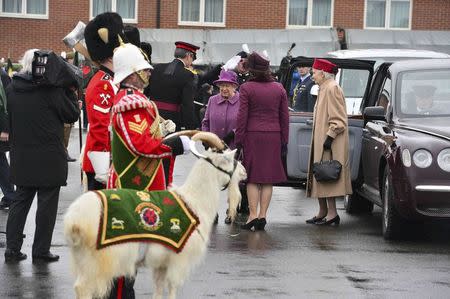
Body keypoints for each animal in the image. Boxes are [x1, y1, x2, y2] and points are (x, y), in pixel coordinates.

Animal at [63, 134, 246, 299]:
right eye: (231, 160)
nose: (244, 172)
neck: (193, 201)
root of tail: (74, 220)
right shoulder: (178, 261)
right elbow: (172, 290)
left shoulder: (161, 264)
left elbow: (158, 290)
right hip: (97, 262)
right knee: (83, 288)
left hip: (82, 259)